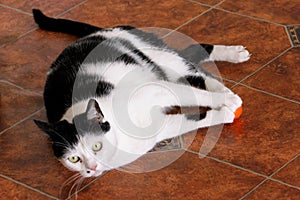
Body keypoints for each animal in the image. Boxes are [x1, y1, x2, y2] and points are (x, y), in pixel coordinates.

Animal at [32, 9, 251, 178]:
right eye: (74, 158)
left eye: (96, 146)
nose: (91, 169)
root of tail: (100, 31)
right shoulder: (162, 129)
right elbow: (196, 119)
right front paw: (225, 113)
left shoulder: (154, 90)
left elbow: (190, 94)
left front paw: (227, 101)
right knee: (193, 69)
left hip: (161, 57)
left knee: (192, 59)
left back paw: (233, 61)